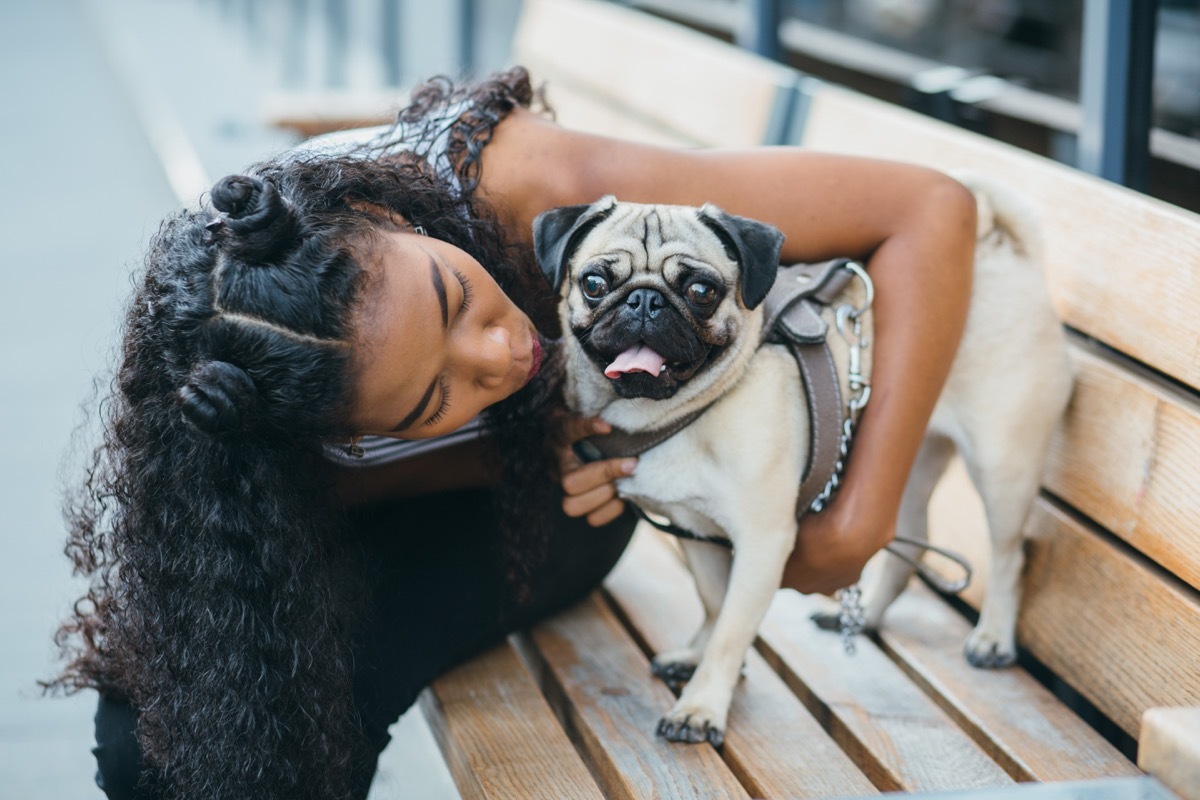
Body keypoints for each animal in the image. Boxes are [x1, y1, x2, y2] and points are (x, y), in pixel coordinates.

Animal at [532, 172, 1070, 748]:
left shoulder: (763, 541)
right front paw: (696, 655)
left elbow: (731, 630)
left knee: (1010, 553)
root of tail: (1005, 253)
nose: (645, 301)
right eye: (594, 282)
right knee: (908, 537)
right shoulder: (694, 527)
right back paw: (864, 617)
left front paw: (701, 705)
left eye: (701, 292)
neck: (668, 413)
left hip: (1001, 464)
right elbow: (715, 602)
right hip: (905, 451)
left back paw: (992, 638)